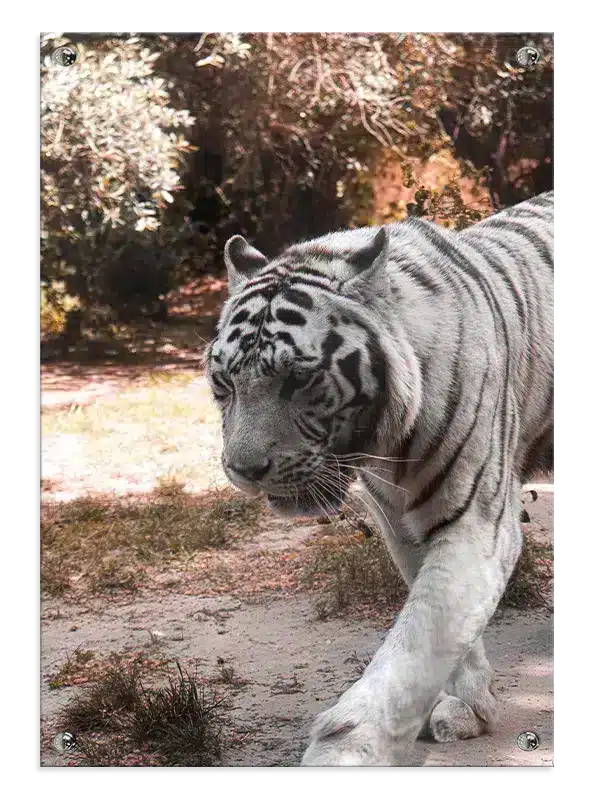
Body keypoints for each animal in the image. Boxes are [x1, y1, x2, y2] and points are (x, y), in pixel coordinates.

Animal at [205, 191, 554, 766]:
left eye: (298, 378)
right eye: (223, 382)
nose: (244, 471)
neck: (389, 445)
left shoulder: (477, 525)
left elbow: (416, 644)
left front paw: (348, 750)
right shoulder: (402, 525)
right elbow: (446, 633)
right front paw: (472, 708)